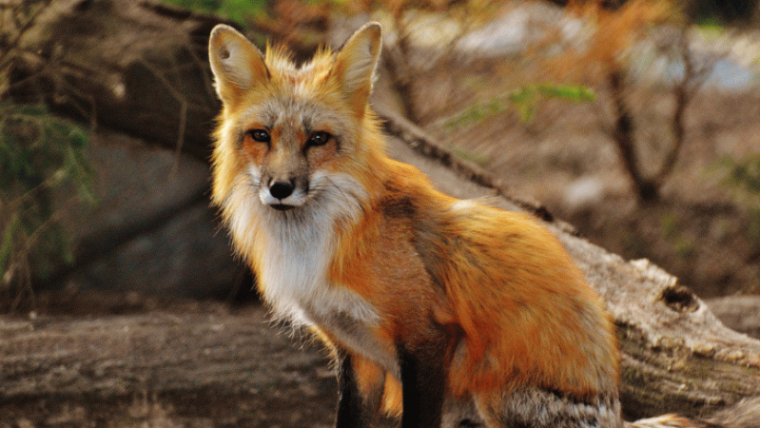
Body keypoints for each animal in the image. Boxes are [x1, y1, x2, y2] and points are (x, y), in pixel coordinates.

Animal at [205, 22, 752, 428]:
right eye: (260, 136)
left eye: (318, 139)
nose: (280, 188)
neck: (323, 238)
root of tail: (615, 409)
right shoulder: (354, 355)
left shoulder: (427, 338)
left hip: (494, 395)